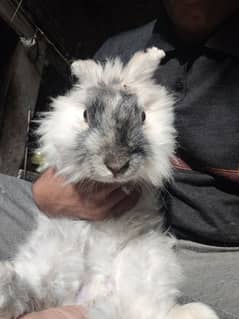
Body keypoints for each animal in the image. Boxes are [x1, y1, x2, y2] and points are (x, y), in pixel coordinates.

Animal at [0, 47, 218, 319]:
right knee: (25, 289)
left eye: (143, 116)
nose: (117, 165)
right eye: (86, 115)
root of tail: (93, 292)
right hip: (50, 261)